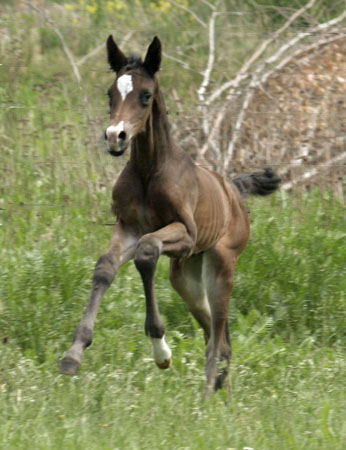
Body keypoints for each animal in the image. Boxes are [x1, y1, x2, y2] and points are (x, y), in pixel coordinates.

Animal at [60, 36, 282, 394]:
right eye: (110, 93)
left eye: (146, 95)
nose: (115, 137)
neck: (149, 171)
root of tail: (233, 191)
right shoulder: (129, 228)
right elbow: (105, 266)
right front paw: (73, 355)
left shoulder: (185, 235)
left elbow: (148, 251)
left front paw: (161, 351)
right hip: (186, 277)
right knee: (216, 333)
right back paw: (221, 388)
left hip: (221, 264)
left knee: (218, 331)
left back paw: (208, 394)